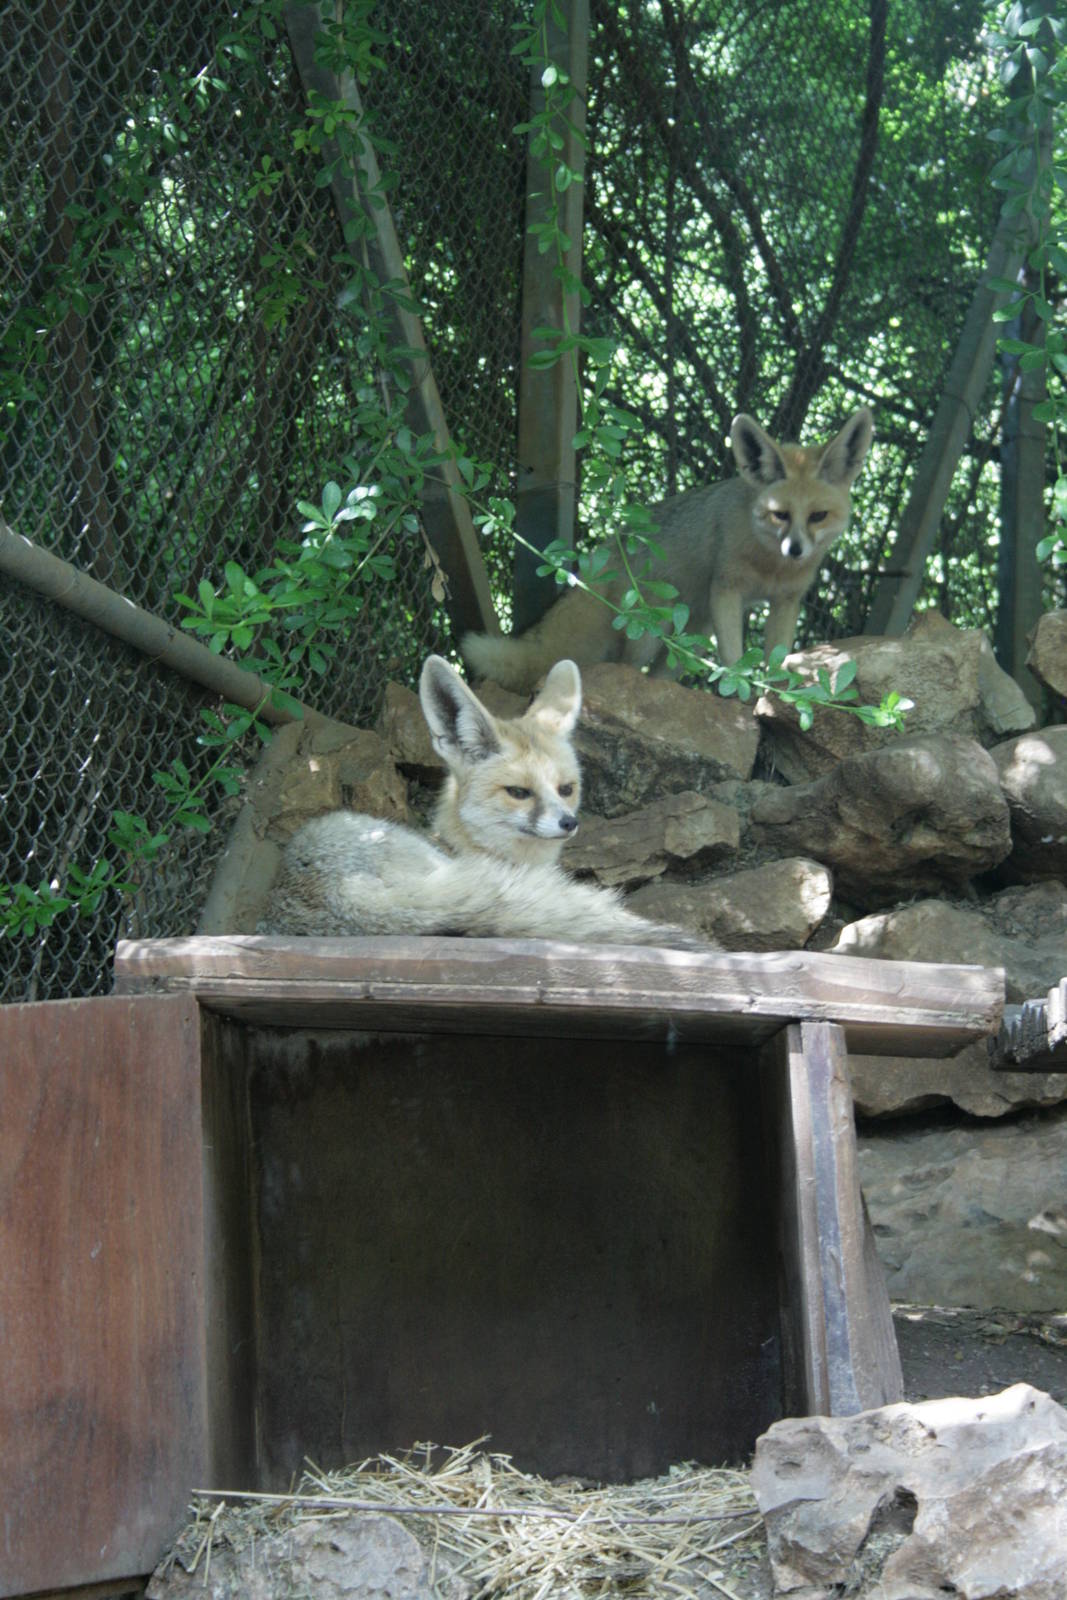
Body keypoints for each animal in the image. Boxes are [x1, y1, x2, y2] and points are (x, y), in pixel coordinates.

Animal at [461, 407, 874, 692]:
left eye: (818, 516)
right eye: (780, 515)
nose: (795, 550)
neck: (771, 567)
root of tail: (601, 558)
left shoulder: (786, 601)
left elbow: (776, 659)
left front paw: (775, 696)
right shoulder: (727, 588)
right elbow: (734, 659)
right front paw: (743, 694)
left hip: (691, 640)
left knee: (660, 675)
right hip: (650, 632)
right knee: (626, 668)